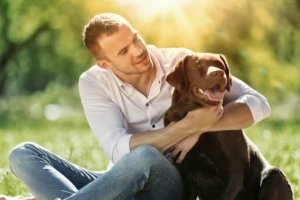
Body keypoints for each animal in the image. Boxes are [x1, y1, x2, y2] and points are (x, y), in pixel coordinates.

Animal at [164, 53, 292, 200]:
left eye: (220, 65)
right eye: (198, 65)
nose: (219, 73)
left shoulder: (234, 173)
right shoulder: (185, 174)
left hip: (274, 175)